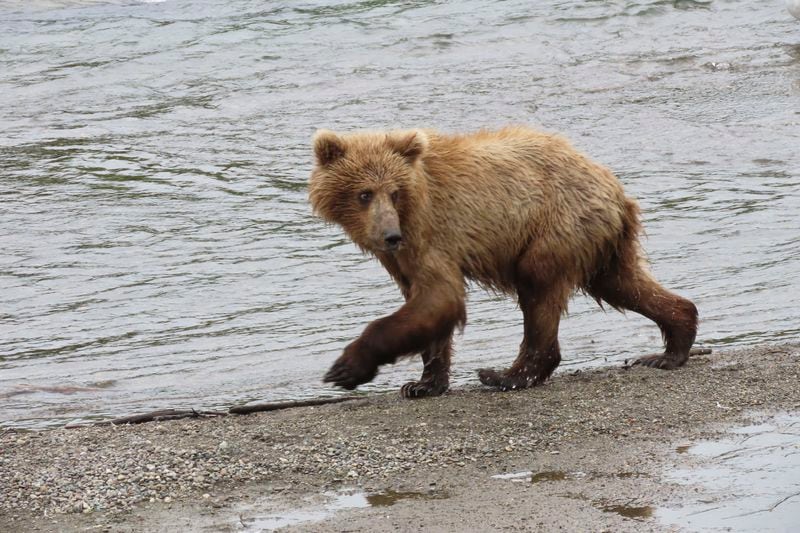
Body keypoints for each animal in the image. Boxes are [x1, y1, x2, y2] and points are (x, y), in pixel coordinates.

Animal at [310, 127, 696, 396]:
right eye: (364, 194)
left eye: (393, 191)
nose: (390, 235)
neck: (408, 212)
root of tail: (615, 187)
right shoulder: (404, 256)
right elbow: (425, 305)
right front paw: (423, 384)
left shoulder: (430, 232)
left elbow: (440, 297)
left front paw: (346, 368)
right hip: (600, 242)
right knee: (624, 284)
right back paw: (671, 346)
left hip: (555, 226)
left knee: (538, 287)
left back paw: (506, 375)